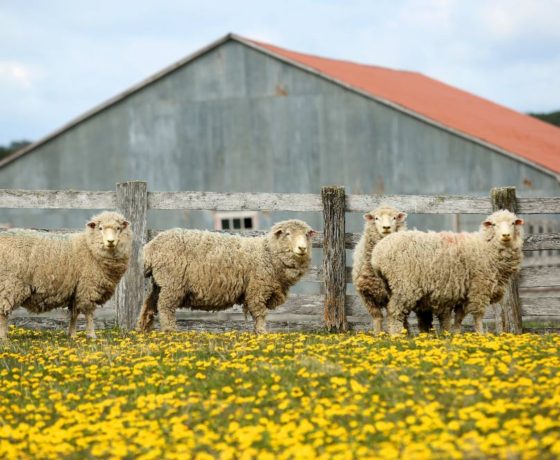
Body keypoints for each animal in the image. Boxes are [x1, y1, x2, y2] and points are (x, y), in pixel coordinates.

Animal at [0, 211, 132, 340]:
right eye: (100, 228)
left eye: (118, 228)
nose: (111, 241)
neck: (89, 247)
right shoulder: (88, 287)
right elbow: (89, 313)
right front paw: (92, 335)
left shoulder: (76, 290)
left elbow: (74, 313)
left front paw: (72, 335)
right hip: (9, 284)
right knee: (2, 312)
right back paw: (4, 338)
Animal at [136, 219, 316, 334]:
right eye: (287, 234)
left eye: (307, 235)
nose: (302, 248)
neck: (267, 253)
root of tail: (150, 247)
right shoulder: (257, 290)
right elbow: (260, 314)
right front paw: (261, 333)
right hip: (172, 283)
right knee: (165, 308)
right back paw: (170, 331)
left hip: (160, 284)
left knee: (148, 305)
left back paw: (143, 330)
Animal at [370, 210, 524, 335]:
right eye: (493, 224)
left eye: (512, 223)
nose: (505, 235)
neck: (485, 246)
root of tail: (377, 253)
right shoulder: (479, 287)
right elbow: (478, 315)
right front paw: (480, 335)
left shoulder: (465, 293)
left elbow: (459, 317)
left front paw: (455, 334)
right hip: (404, 284)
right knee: (394, 312)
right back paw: (396, 336)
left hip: (391, 286)